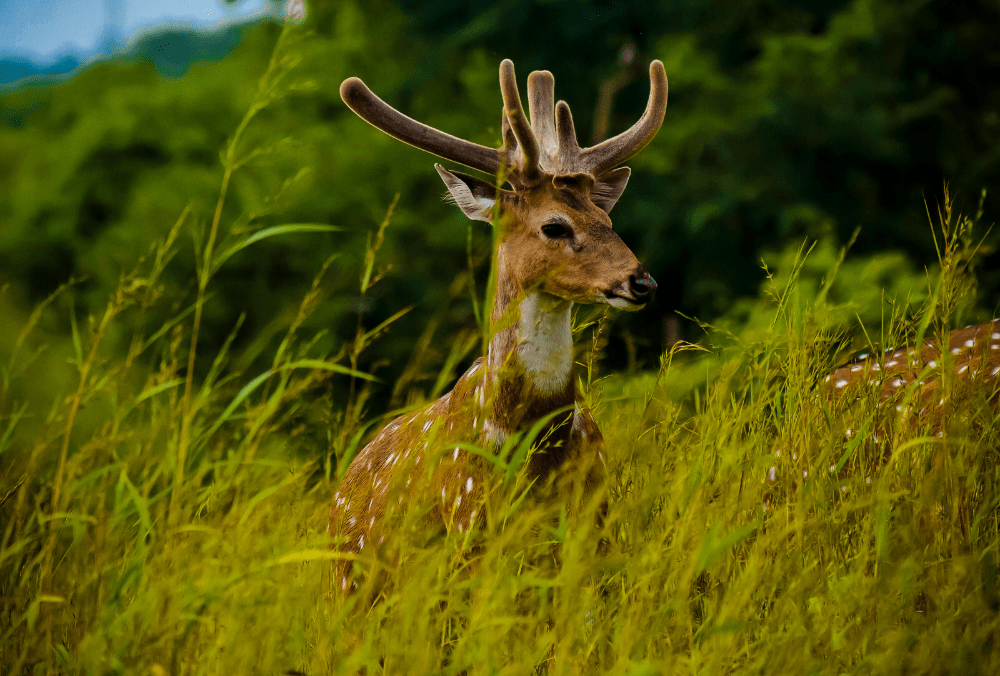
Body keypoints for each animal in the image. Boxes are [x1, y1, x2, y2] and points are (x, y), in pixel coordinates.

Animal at [330, 58, 664, 588]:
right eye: (554, 226)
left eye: (608, 221)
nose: (642, 282)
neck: (532, 443)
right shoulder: (470, 527)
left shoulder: (595, 525)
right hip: (351, 581)